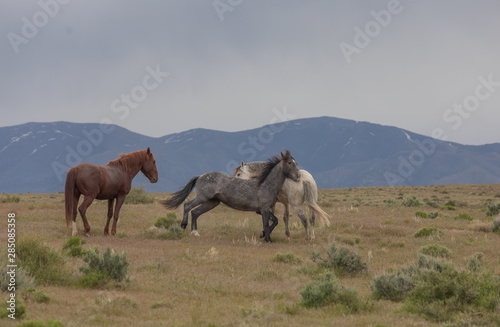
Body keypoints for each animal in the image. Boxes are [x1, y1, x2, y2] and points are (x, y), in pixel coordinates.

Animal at [162, 150, 298, 242]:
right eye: (290, 162)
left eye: (295, 162)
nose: (297, 176)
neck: (266, 184)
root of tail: (200, 176)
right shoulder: (263, 209)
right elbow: (267, 223)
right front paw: (267, 238)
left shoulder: (261, 210)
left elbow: (275, 220)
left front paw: (263, 234)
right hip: (202, 198)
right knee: (187, 206)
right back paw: (184, 225)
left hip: (212, 202)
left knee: (195, 212)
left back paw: (195, 232)